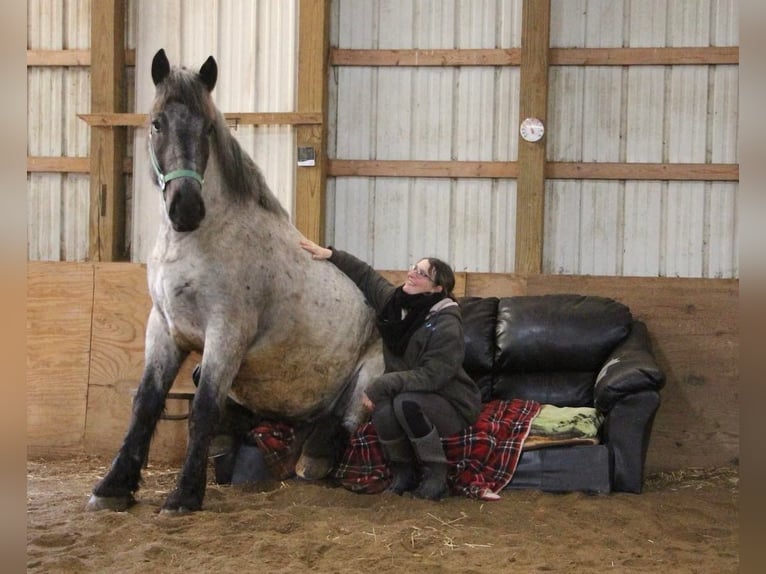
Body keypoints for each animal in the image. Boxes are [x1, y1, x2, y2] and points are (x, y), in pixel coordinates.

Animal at [88, 49, 384, 516]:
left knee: (347, 423)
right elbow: (145, 404)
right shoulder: (164, 329)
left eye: (208, 127)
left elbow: (204, 410)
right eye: (157, 123)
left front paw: (184, 495)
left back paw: (316, 458)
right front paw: (114, 486)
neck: (194, 243)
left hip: (368, 380)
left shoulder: (226, 333)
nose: (186, 209)